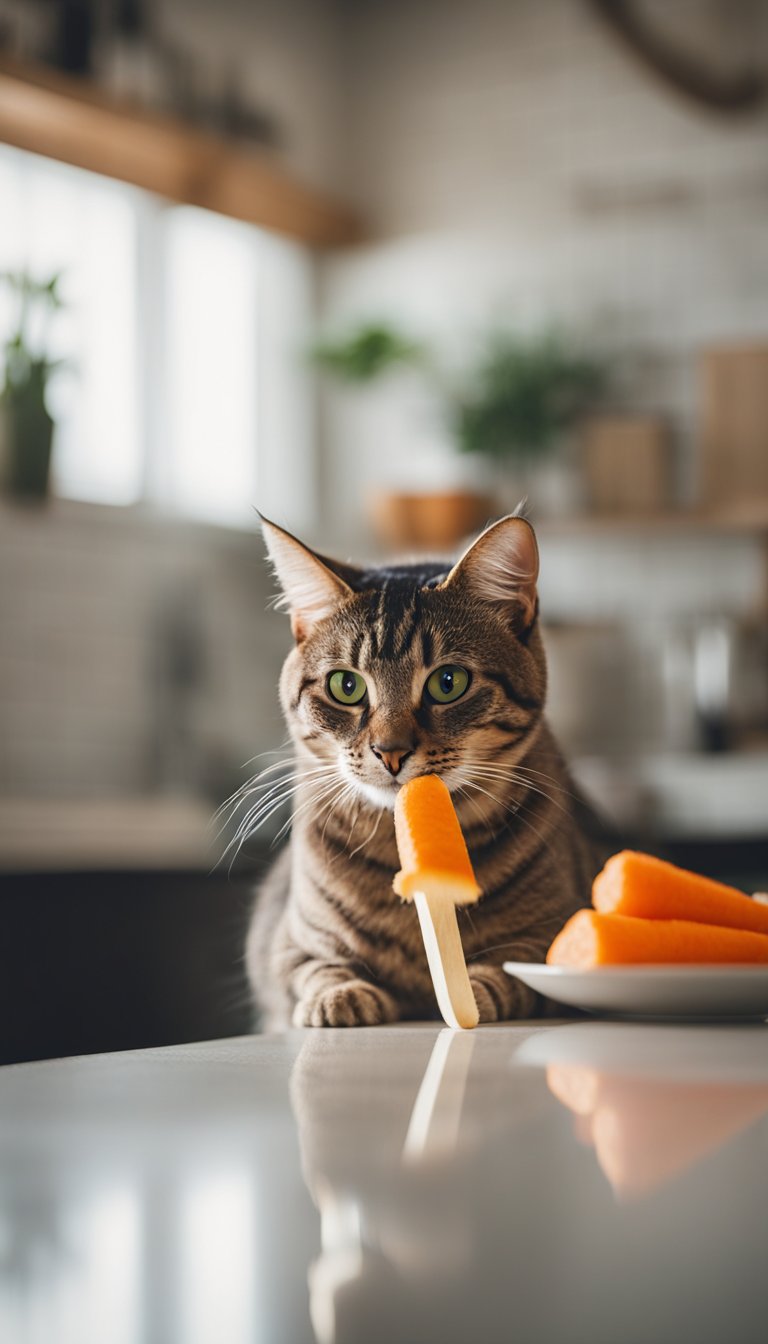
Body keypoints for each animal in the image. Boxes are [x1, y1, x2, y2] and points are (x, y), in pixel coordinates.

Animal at [246, 513, 599, 1026]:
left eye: (448, 682)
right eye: (345, 686)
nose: (389, 752)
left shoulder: (549, 935)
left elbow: (512, 974)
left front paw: (473, 992)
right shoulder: (288, 946)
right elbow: (318, 970)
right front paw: (339, 997)